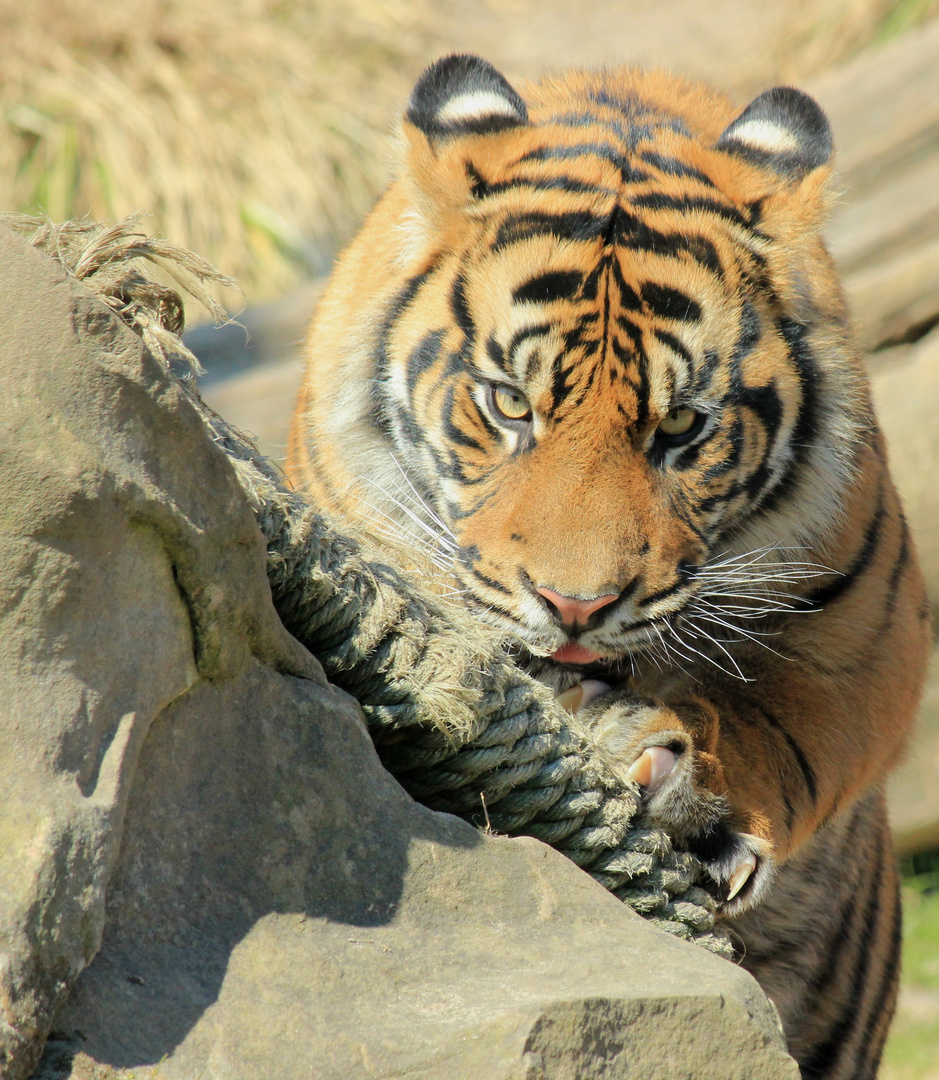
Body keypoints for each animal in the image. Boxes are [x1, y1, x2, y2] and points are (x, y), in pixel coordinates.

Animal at [287, 52, 929, 1080]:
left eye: (680, 427)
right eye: (509, 403)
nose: (574, 605)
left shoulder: (868, 636)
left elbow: (784, 726)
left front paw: (693, 794)